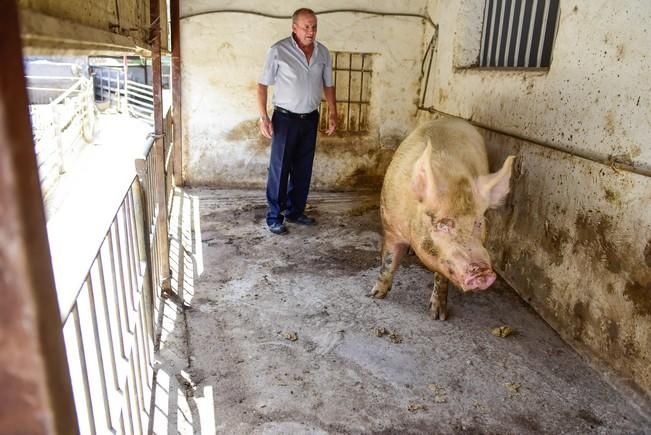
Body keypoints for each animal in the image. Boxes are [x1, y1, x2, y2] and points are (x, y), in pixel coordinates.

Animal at [372, 118, 516, 320]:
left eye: (478, 223)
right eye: (442, 225)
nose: (481, 270)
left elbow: (441, 278)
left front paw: (438, 316)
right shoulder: (391, 225)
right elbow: (388, 262)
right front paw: (375, 294)